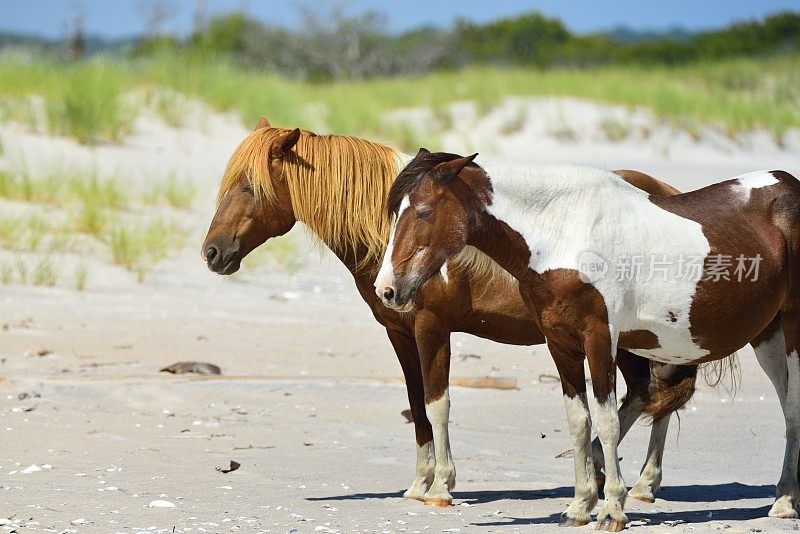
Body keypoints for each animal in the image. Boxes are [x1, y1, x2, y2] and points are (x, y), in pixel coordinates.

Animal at [202, 118, 700, 510]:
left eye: (248, 186)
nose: (211, 253)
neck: (394, 236)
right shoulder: (400, 333)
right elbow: (416, 401)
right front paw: (419, 483)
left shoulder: (431, 328)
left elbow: (437, 403)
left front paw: (442, 485)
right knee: (651, 395)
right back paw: (629, 479)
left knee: (651, 395)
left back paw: (625, 478)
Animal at [378, 148, 800, 532]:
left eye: (423, 212)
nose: (387, 290)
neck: (565, 233)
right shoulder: (561, 344)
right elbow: (579, 421)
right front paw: (580, 505)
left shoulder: (600, 339)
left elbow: (607, 421)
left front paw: (612, 509)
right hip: (767, 337)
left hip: (790, 334)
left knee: (791, 407)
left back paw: (783, 502)